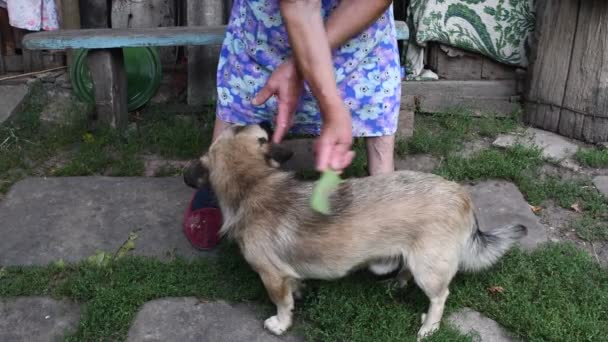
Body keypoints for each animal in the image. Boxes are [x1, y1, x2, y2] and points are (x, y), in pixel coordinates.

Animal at [183, 123, 524, 340]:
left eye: (262, 133)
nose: (269, 118)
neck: (252, 184)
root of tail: (462, 196)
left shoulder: (271, 276)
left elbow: (281, 303)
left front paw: (280, 324)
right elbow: (294, 287)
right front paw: (299, 292)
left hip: (429, 269)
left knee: (440, 296)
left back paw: (429, 327)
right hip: (414, 257)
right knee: (408, 272)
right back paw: (397, 284)